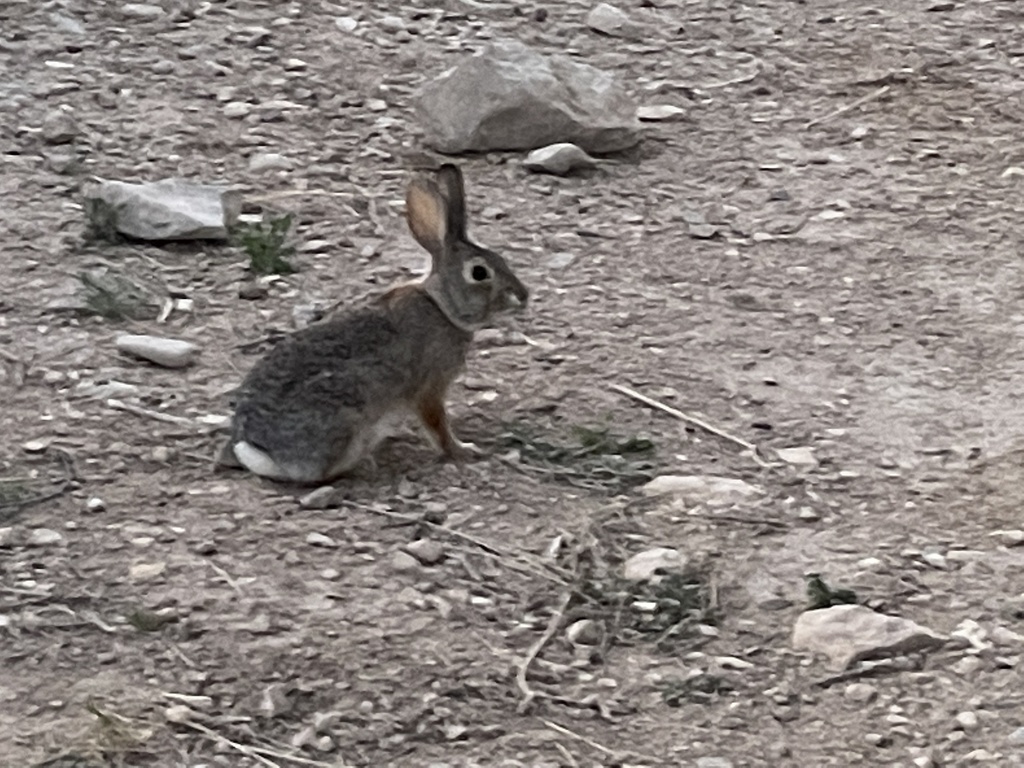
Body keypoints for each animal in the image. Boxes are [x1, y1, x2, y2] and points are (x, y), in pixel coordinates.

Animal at [217, 164, 529, 484]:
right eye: (479, 273)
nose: (523, 296)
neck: (442, 307)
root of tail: (261, 451)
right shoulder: (429, 388)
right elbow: (437, 424)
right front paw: (463, 450)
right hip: (346, 415)